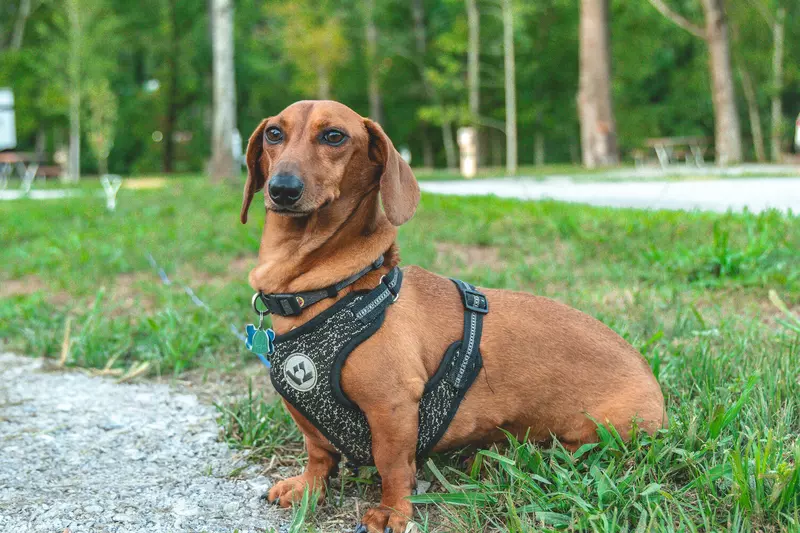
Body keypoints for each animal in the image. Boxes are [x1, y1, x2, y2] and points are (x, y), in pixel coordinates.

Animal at [241, 101, 664, 532]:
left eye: (334, 136)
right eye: (274, 134)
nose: (282, 189)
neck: (336, 288)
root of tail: (648, 372)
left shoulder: (392, 407)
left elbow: (393, 466)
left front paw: (392, 511)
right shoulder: (303, 409)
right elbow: (319, 452)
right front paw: (309, 487)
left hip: (598, 432)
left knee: (564, 451)